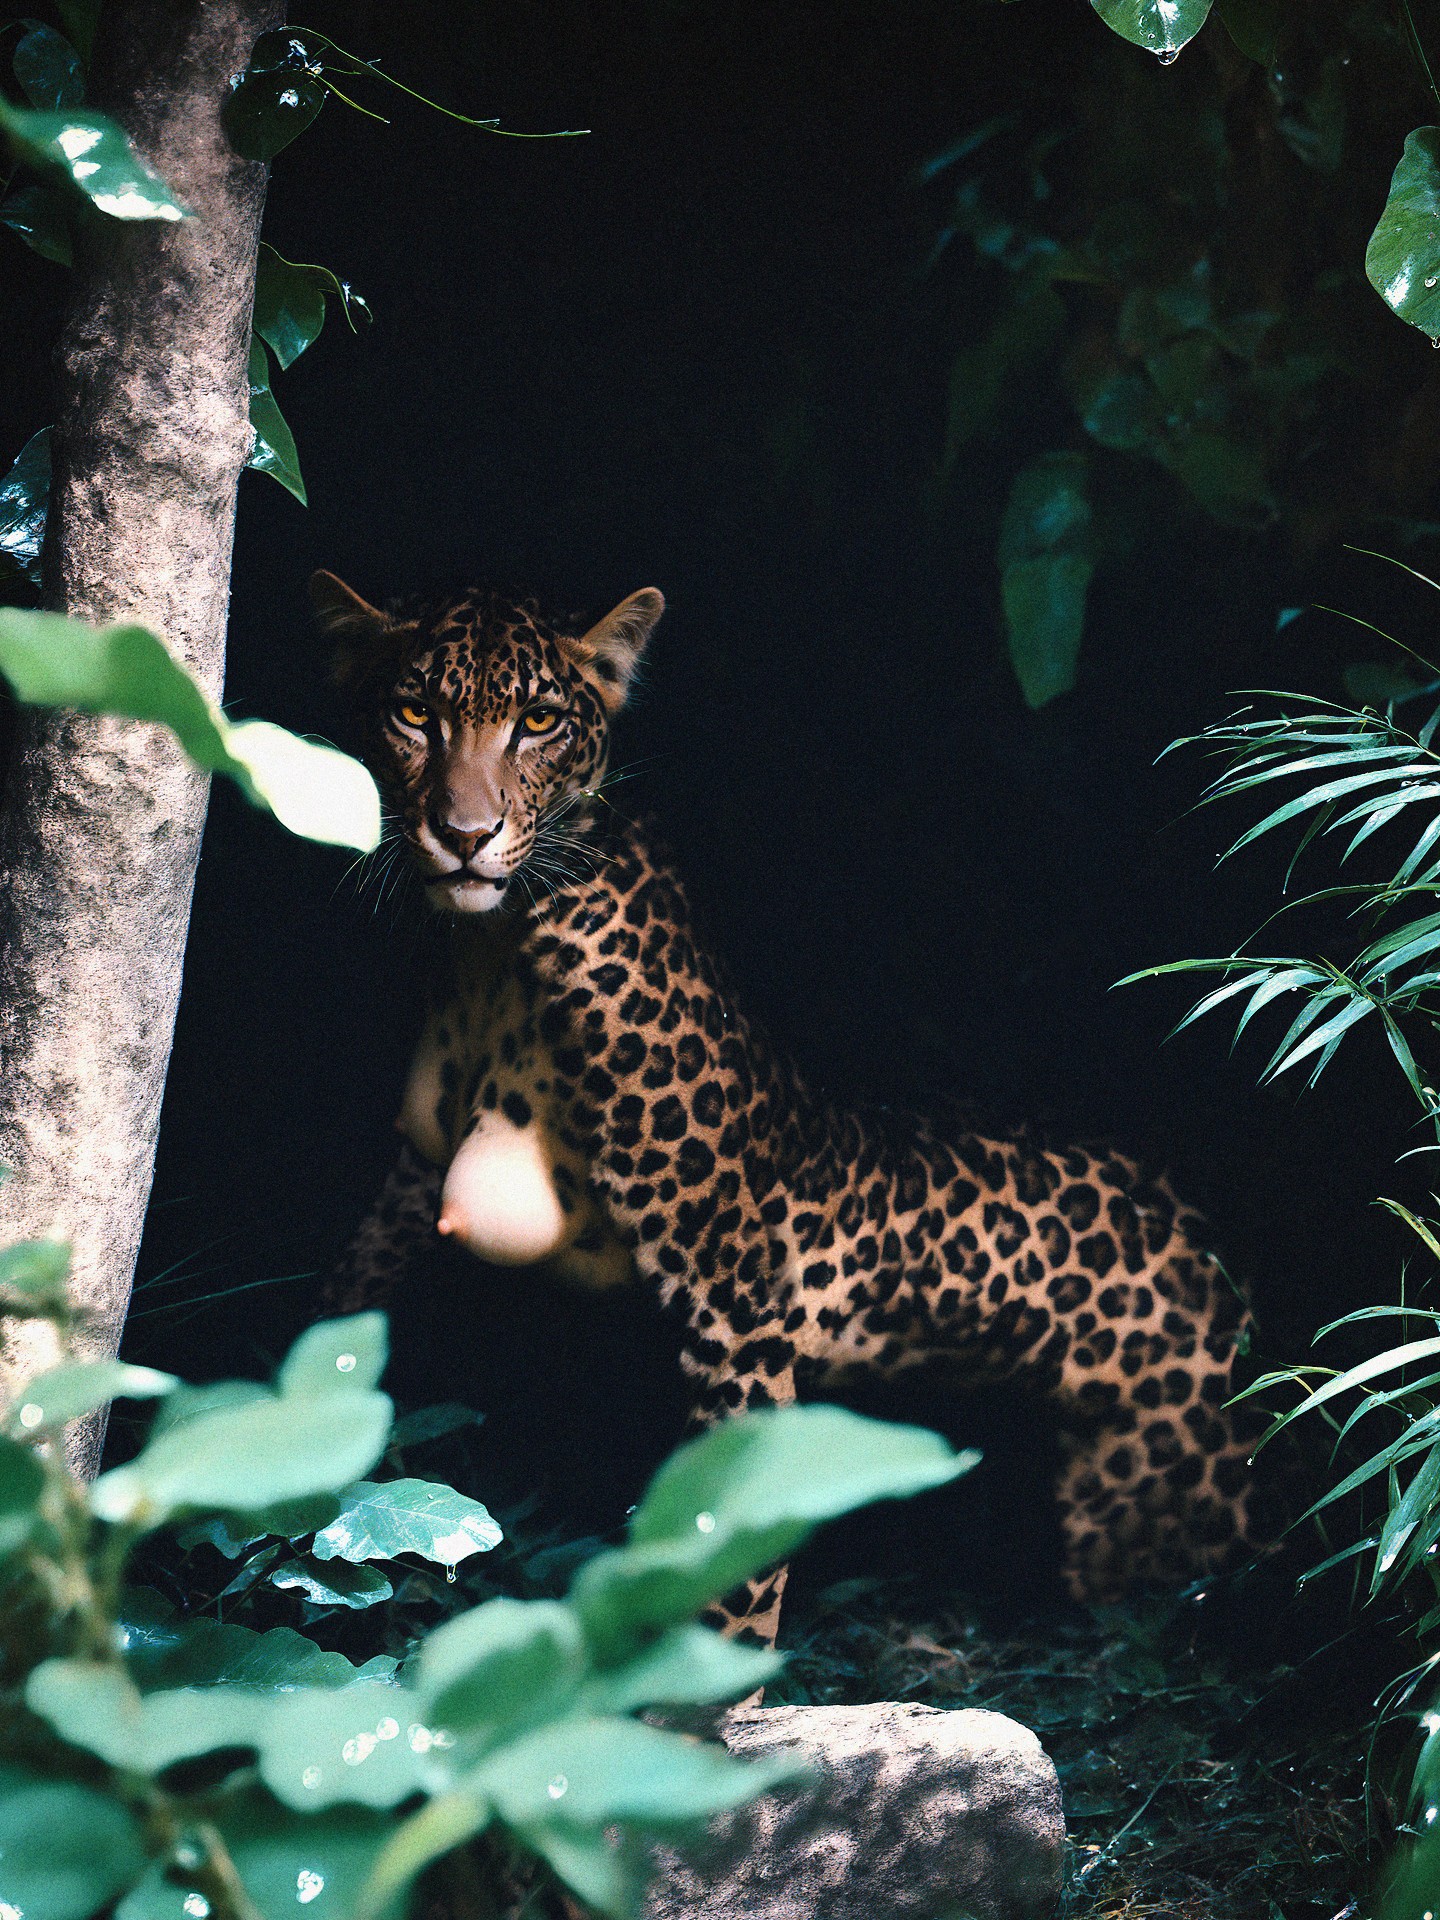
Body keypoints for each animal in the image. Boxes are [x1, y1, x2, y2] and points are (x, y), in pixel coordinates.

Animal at [315, 567, 1269, 1648]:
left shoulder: (735, 1312)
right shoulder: (409, 1180)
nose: (465, 836)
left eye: (539, 721)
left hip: (1140, 1513)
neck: (494, 953)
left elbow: (729, 1570)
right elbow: (343, 1312)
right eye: (414, 713)